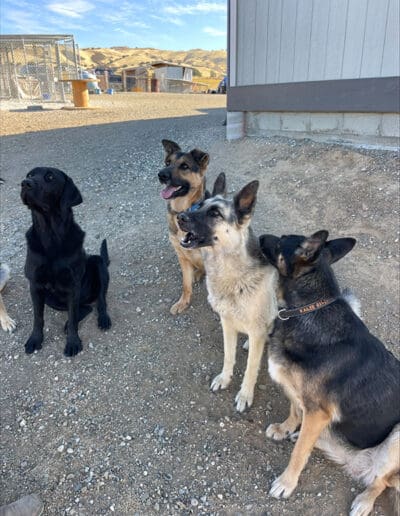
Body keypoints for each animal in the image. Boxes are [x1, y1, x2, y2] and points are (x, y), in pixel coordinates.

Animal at [20, 167, 111, 356]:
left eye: (50, 177)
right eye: (30, 174)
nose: (25, 183)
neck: (51, 236)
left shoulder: (73, 285)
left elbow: (73, 314)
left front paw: (73, 342)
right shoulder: (35, 285)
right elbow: (38, 318)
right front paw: (35, 339)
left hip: (98, 263)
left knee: (99, 301)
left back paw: (103, 318)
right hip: (51, 299)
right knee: (84, 308)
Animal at [159, 139, 211, 314]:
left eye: (184, 166)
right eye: (168, 162)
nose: (161, 174)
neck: (183, 211)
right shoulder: (181, 256)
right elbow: (185, 284)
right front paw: (183, 302)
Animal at [178, 177, 278, 412]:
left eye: (215, 213)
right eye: (198, 206)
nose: (180, 217)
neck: (235, 277)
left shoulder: (254, 330)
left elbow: (251, 367)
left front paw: (245, 395)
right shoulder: (227, 323)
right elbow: (228, 356)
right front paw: (225, 378)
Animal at [260, 231, 398, 516]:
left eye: (280, 241)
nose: (259, 236)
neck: (309, 308)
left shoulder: (318, 412)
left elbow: (299, 453)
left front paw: (286, 483)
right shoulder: (300, 397)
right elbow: (294, 408)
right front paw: (285, 428)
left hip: (396, 439)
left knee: (382, 481)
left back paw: (364, 501)